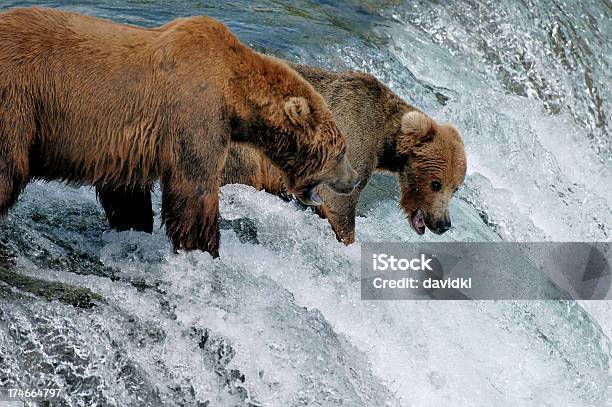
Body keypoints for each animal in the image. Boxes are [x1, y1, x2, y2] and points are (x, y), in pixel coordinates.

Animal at [0, 7, 358, 258]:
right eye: (340, 151)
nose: (353, 178)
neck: (235, 91)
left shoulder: (127, 146)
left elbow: (127, 193)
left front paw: (134, 227)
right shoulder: (196, 111)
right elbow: (194, 188)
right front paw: (203, 249)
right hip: (18, 101)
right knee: (7, 168)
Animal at [222, 63, 466, 242]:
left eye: (455, 188)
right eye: (436, 183)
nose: (444, 224)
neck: (386, 141)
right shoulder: (354, 137)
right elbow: (338, 201)